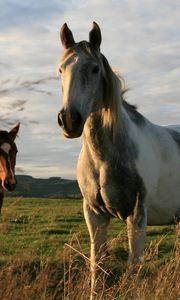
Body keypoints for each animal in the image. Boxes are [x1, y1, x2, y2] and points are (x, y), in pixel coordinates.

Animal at [57, 22, 180, 298]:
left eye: (94, 68)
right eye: (60, 69)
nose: (69, 120)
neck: (104, 158)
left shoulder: (136, 216)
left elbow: (134, 272)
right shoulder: (94, 216)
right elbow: (97, 268)